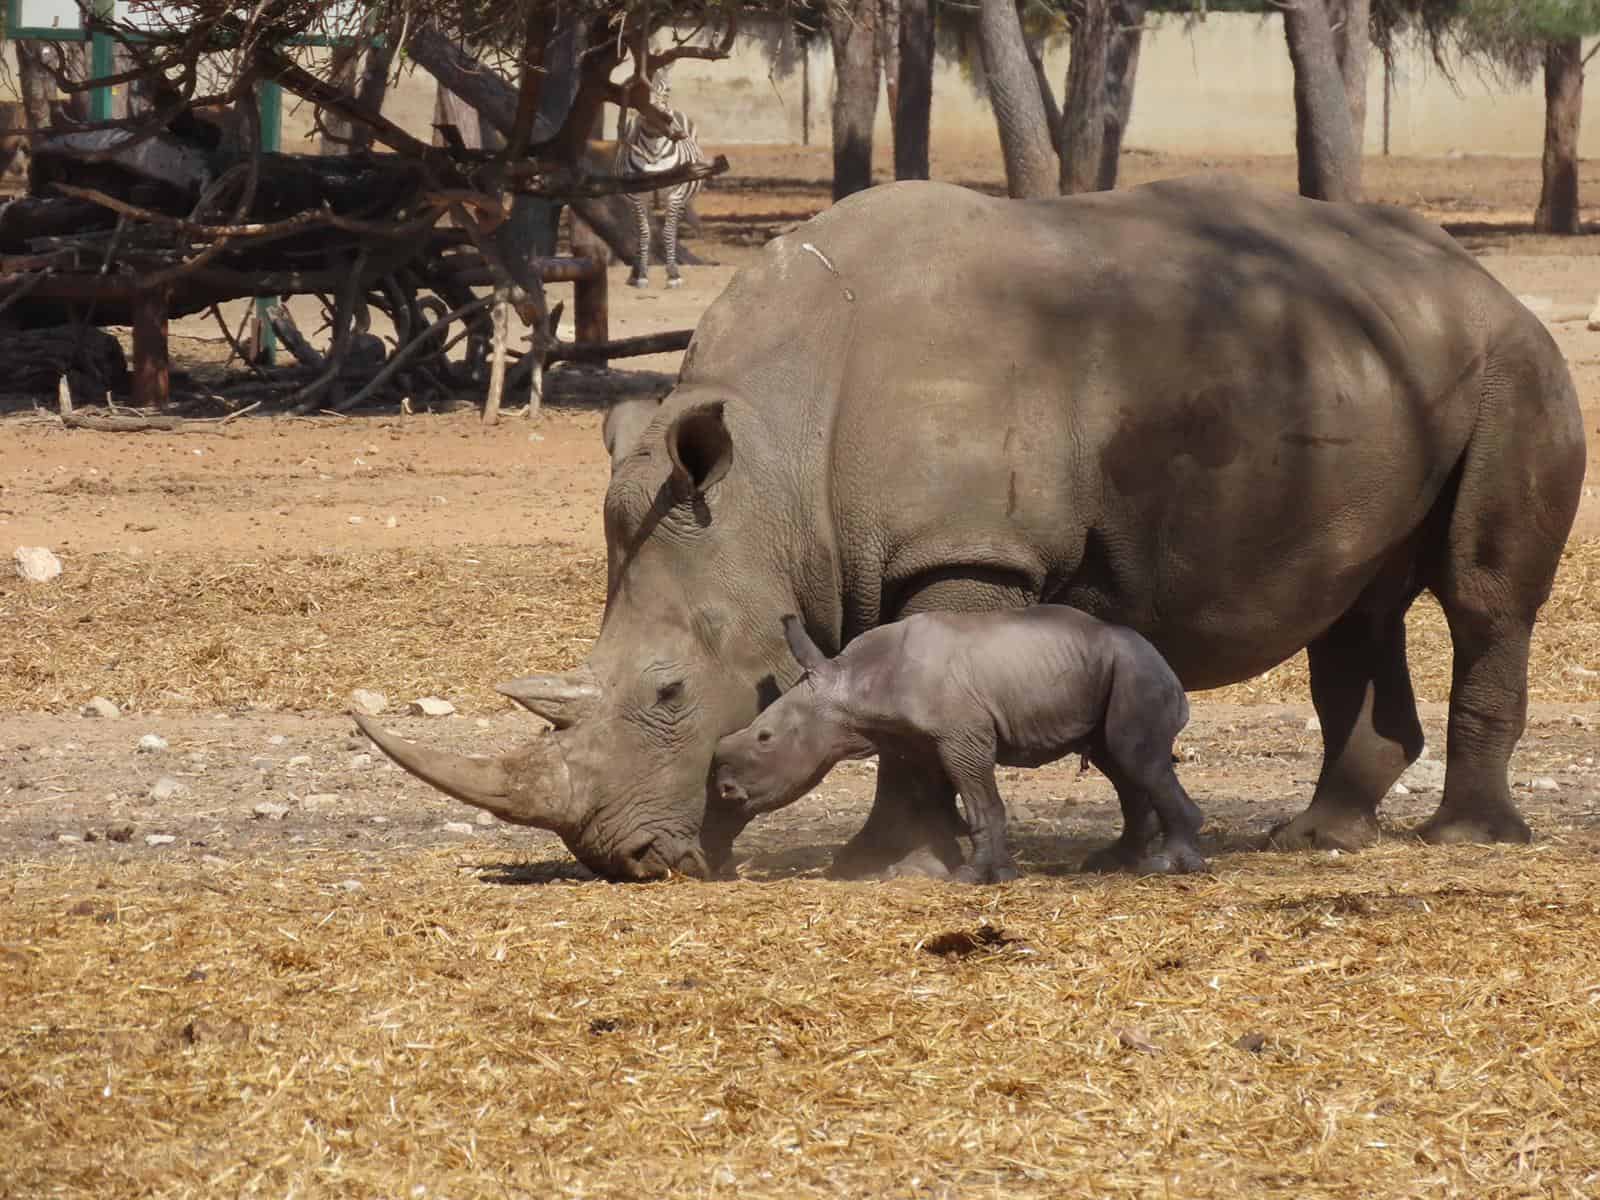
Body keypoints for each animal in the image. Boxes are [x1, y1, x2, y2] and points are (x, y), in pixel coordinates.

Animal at [614, 66, 704, 289]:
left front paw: (673, 274)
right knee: (639, 231)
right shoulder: (638, 195)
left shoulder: (675, 193)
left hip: (682, 196)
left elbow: (668, 232)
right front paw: (642, 274)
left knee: (673, 227)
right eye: (639, 94)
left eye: (667, 90)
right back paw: (635, 271)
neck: (654, 151)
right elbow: (644, 233)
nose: (664, 120)